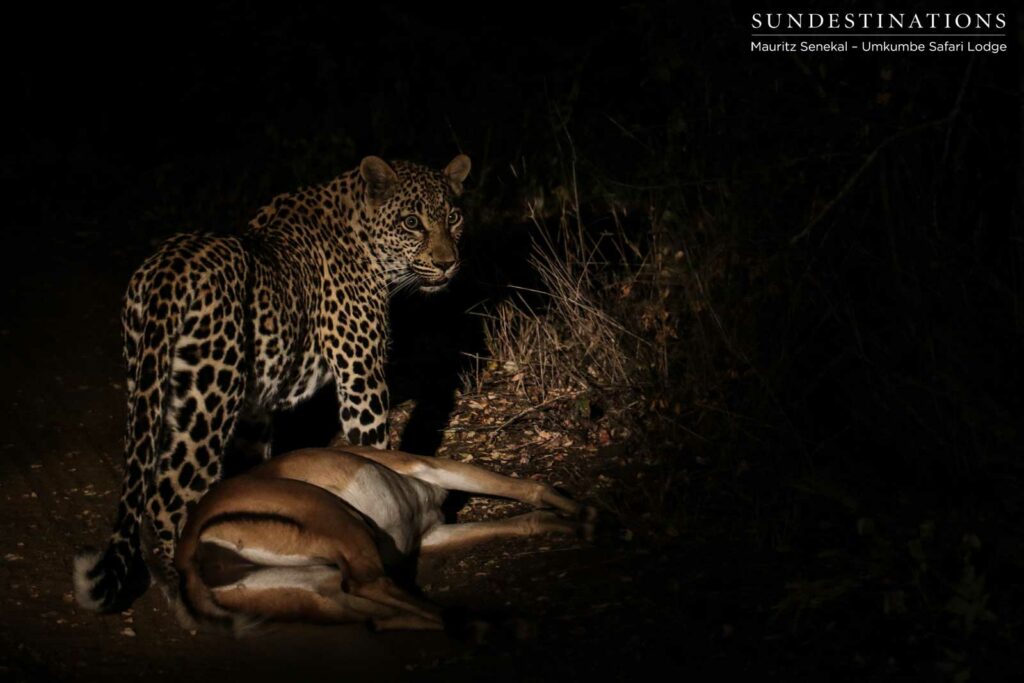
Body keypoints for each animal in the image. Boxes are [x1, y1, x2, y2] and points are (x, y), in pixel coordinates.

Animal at [174, 446, 596, 632]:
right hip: (339, 519)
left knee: (386, 614)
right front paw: (585, 515)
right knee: (370, 583)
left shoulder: (430, 534)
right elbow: (529, 487)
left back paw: (492, 625)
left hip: (327, 589)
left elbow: (526, 520)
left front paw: (574, 522)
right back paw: (496, 625)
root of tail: (189, 553)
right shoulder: (431, 467)